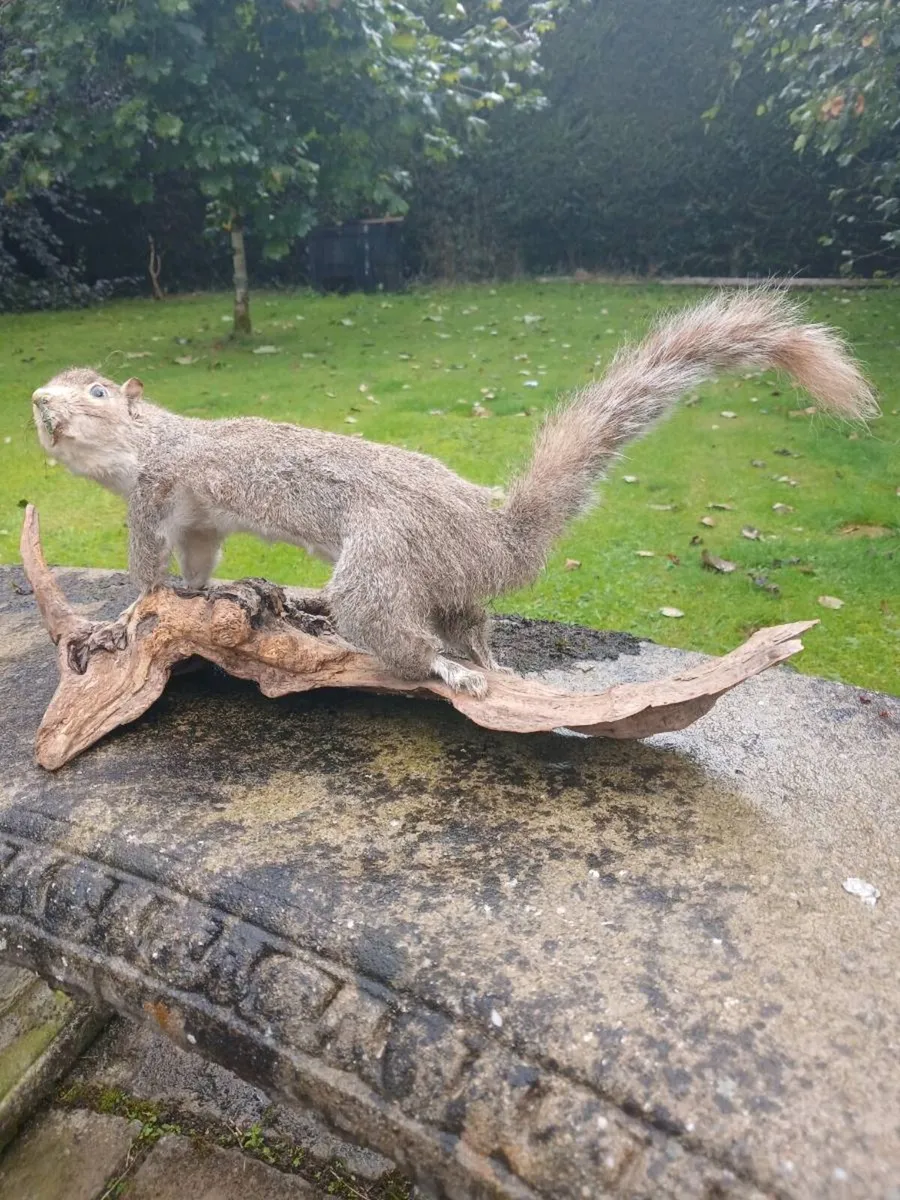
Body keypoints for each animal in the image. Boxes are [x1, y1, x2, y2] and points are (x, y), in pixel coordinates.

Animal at [31, 288, 876, 698]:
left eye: (97, 390)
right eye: (54, 383)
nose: (38, 402)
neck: (150, 441)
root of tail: (497, 540)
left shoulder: (154, 493)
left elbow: (146, 575)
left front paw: (121, 621)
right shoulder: (197, 520)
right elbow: (198, 562)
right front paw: (203, 591)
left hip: (381, 565)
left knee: (403, 639)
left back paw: (446, 671)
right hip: (441, 581)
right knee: (469, 623)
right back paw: (485, 662)